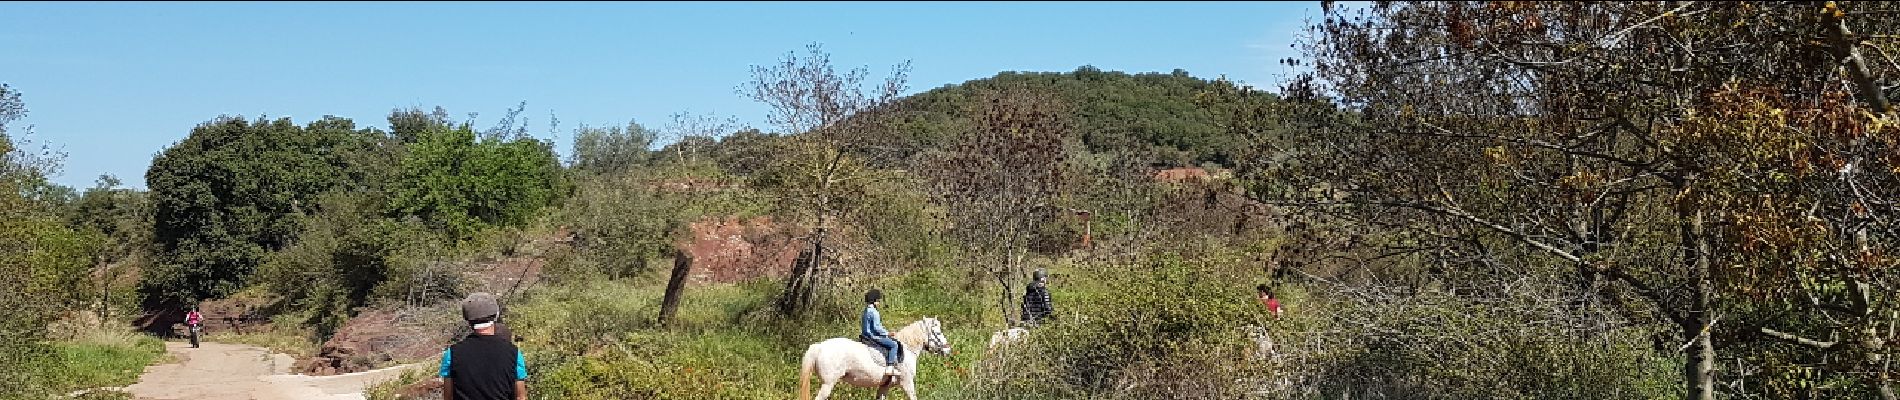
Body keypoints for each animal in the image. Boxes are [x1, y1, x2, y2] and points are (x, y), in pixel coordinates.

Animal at [798, 318, 950, 400]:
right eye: (937, 333)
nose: (948, 350)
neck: (907, 348)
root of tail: (819, 346)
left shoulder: (884, 386)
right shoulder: (907, 383)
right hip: (827, 384)